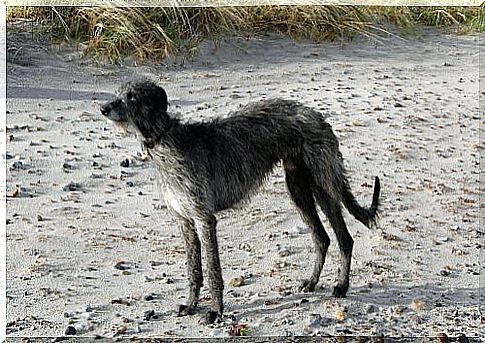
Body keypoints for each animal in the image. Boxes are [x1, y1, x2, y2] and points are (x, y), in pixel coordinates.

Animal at [100, 81, 380, 326]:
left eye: (132, 96)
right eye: (119, 92)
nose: (103, 108)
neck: (164, 142)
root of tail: (317, 116)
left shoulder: (204, 218)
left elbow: (212, 269)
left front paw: (215, 311)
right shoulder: (185, 221)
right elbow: (193, 269)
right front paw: (191, 305)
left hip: (322, 182)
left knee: (344, 238)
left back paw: (341, 286)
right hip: (298, 188)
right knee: (322, 237)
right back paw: (311, 282)